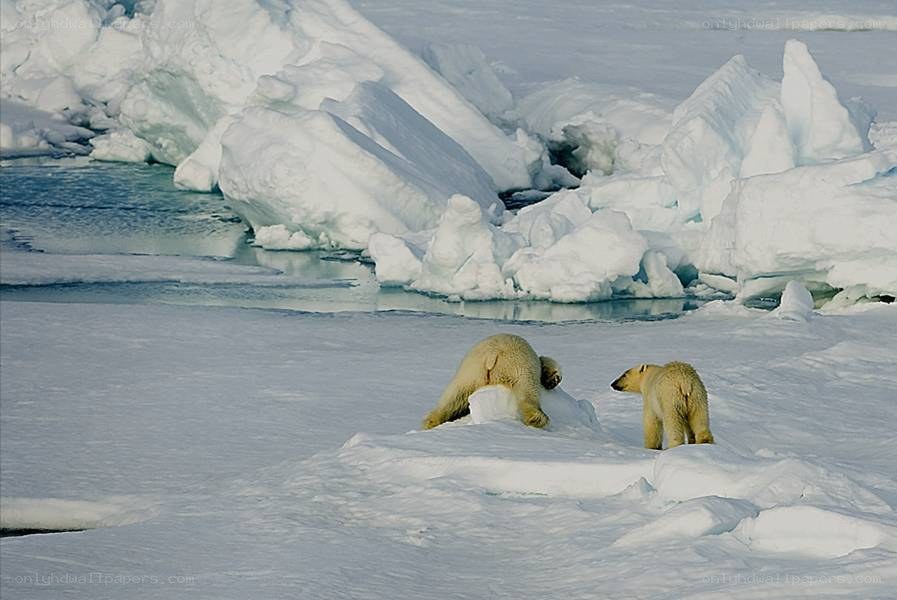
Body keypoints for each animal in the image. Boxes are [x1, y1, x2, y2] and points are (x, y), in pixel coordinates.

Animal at [422, 334, 562, 430]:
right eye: (557, 378)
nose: (553, 382)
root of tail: (492, 354)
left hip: (471, 369)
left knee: (455, 395)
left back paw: (431, 421)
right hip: (518, 366)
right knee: (528, 390)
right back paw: (538, 418)